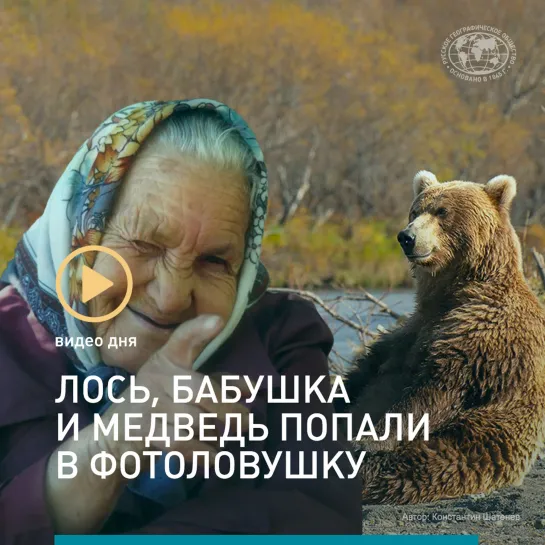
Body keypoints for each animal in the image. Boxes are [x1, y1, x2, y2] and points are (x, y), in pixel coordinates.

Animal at [342, 169, 544, 502]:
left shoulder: (480, 338)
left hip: (464, 445)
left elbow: (432, 393)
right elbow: (363, 375)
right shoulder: (409, 333)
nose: (406, 237)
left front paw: (365, 439)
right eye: (415, 211)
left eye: (442, 211)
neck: (450, 293)